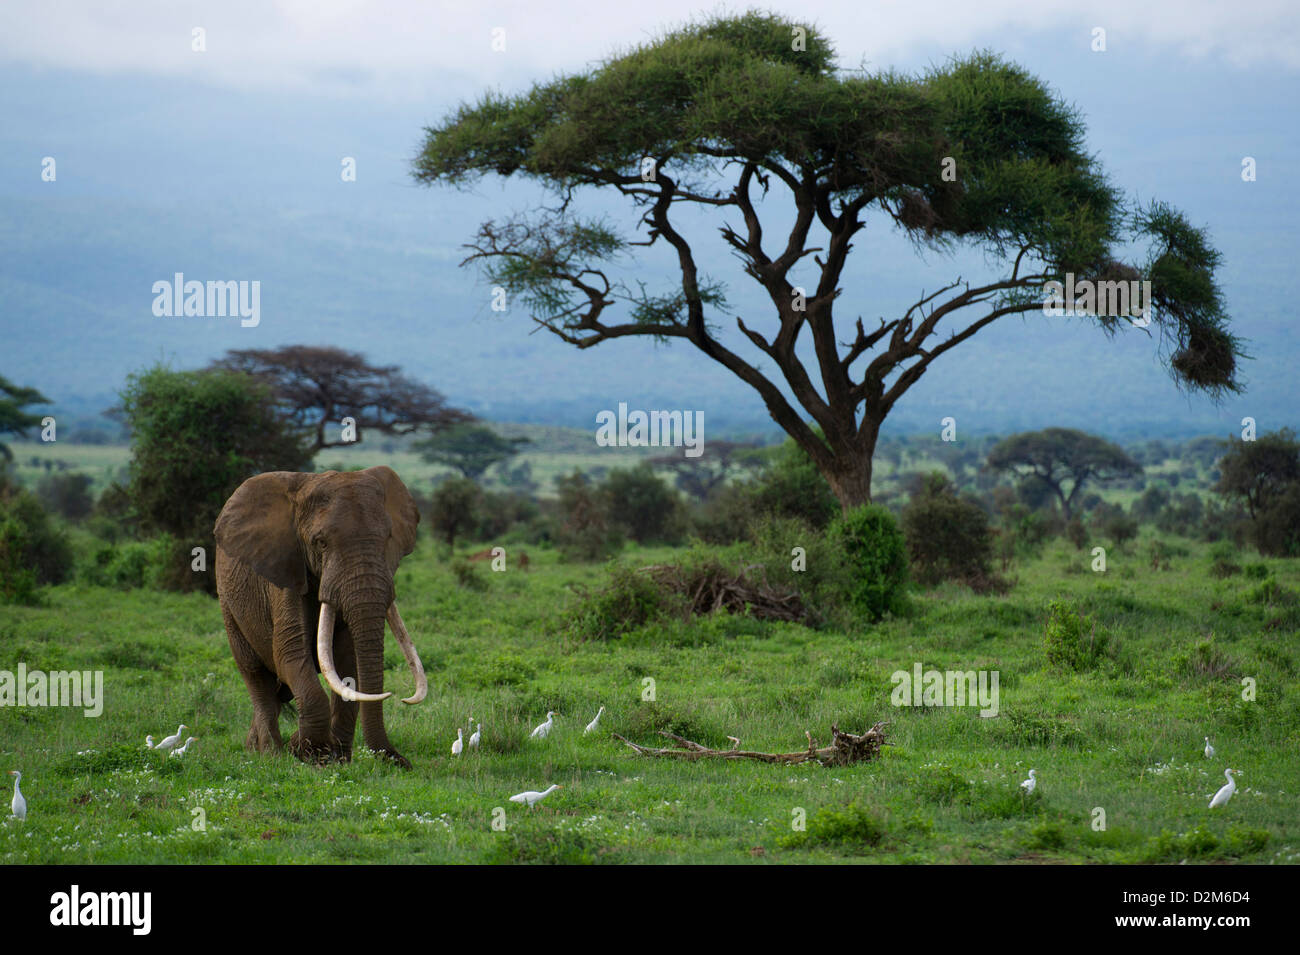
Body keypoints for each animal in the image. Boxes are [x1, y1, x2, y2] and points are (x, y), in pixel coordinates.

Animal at [214, 465, 426, 769]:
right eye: (320, 542)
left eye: (387, 539)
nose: (400, 762)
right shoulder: (286, 569)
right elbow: (289, 654)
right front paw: (311, 753)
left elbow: (347, 662)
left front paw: (337, 758)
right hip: (228, 604)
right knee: (255, 675)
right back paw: (271, 755)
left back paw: (255, 748)